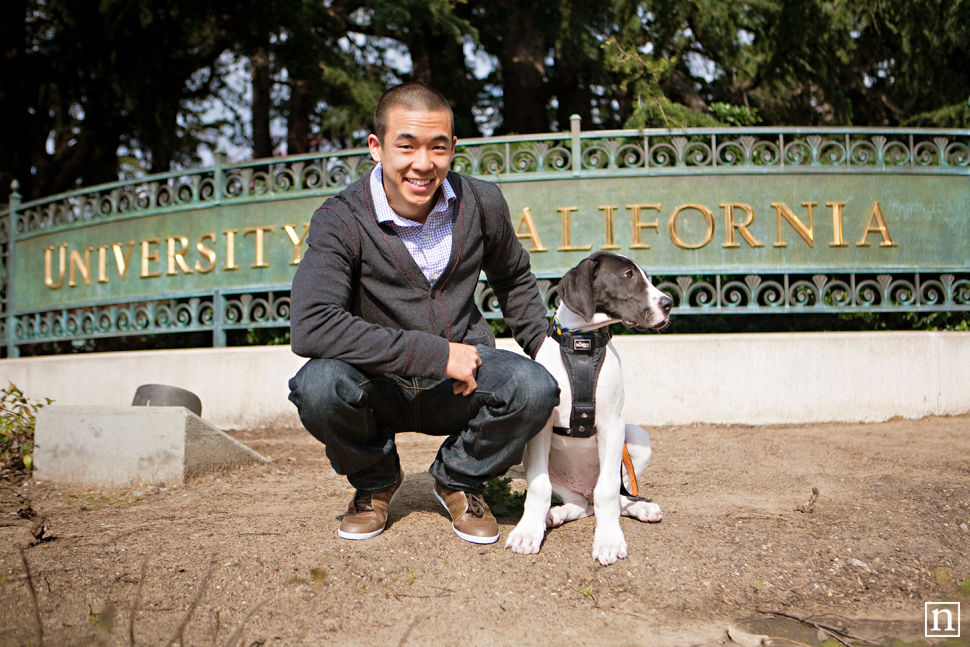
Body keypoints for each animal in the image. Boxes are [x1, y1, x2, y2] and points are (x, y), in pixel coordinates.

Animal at [502, 251, 668, 564]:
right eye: (628, 275)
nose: (668, 303)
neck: (583, 344)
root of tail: (584, 488)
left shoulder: (613, 425)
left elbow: (609, 492)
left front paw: (609, 540)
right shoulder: (541, 426)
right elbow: (539, 488)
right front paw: (528, 532)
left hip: (636, 438)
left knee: (613, 496)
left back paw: (641, 507)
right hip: (531, 456)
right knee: (579, 503)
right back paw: (554, 515)